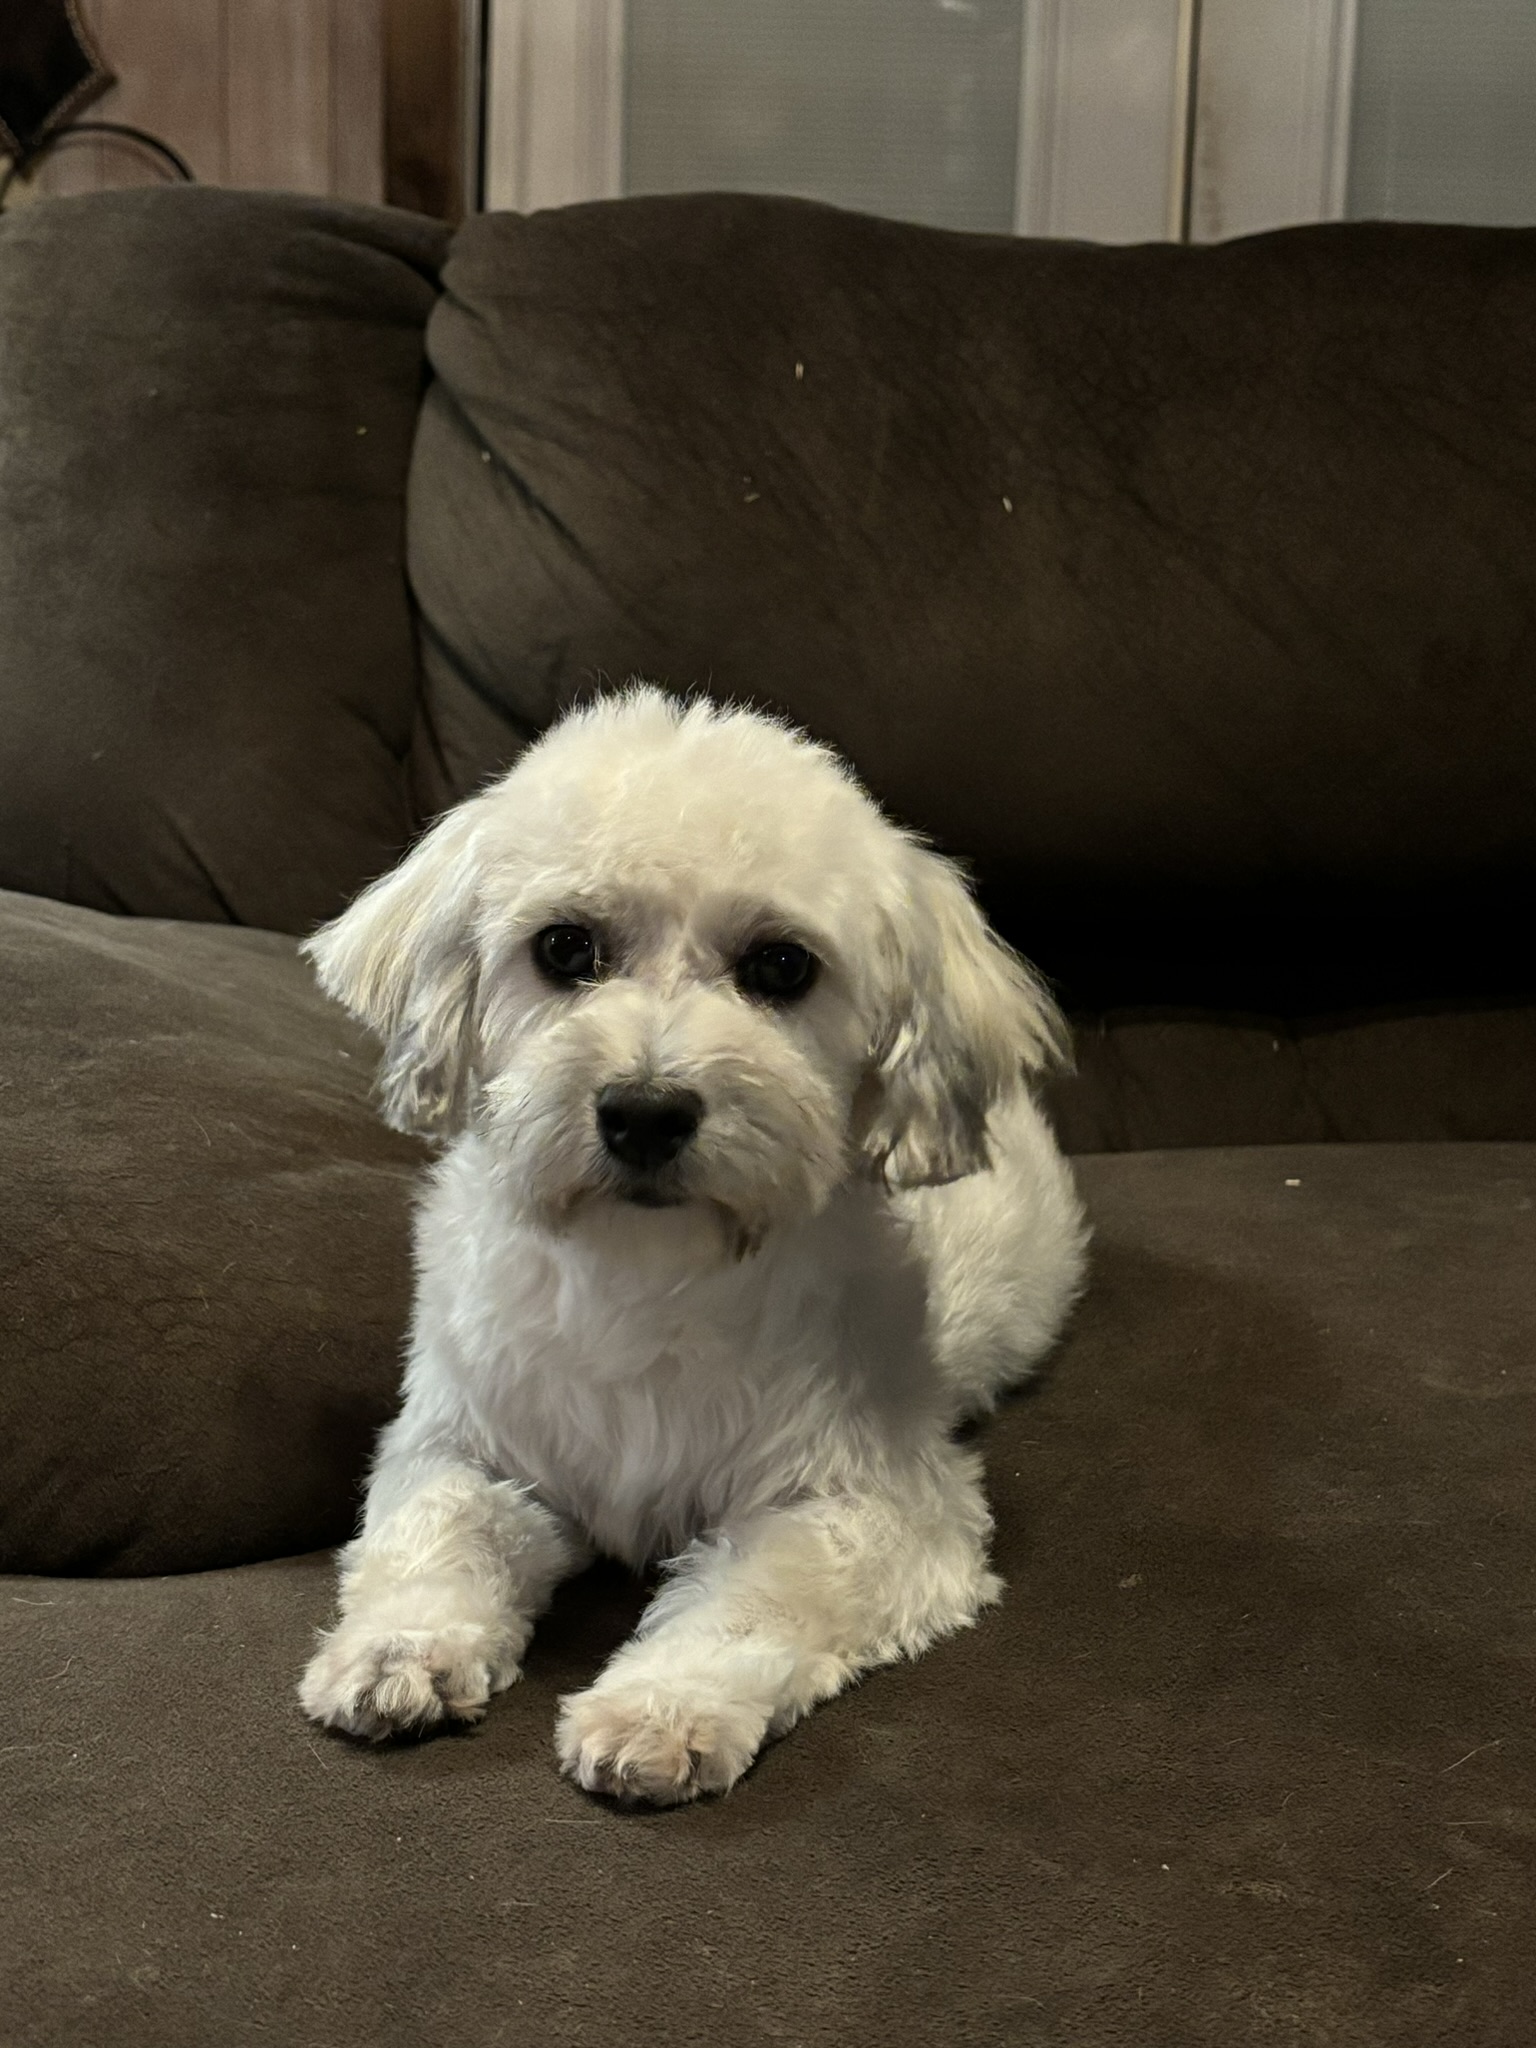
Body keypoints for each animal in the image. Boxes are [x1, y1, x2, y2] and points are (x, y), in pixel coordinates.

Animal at [301, 692, 1089, 1810]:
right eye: (566, 947)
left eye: (782, 966)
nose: (644, 1109)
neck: (650, 1268)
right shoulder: (469, 1439)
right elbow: (435, 1529)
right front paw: (400, 1647)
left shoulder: (880, 1503)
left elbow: (761, 1591)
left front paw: (661, 1705)